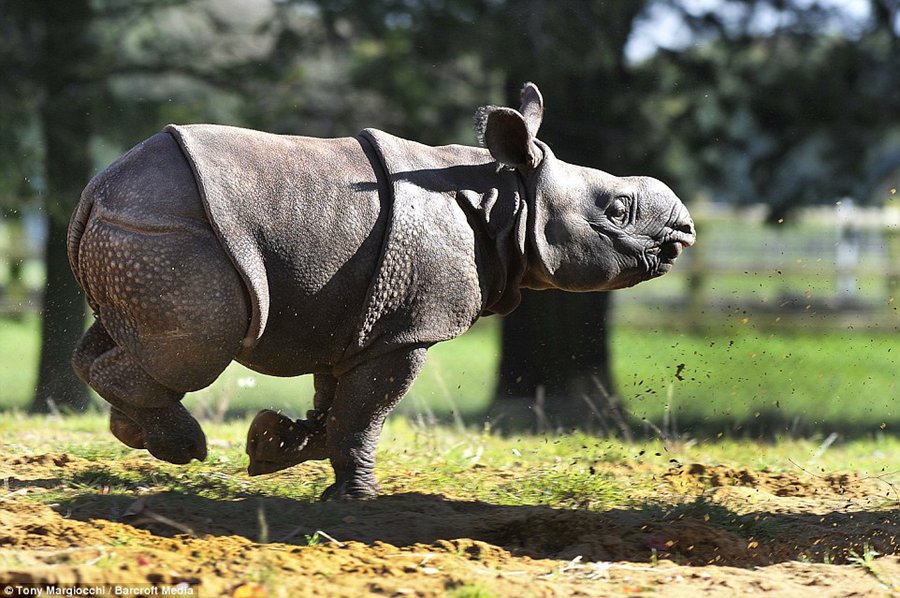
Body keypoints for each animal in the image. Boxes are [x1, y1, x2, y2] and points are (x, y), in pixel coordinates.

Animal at [68, 82, 696, 500]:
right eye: (619, 209)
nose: (685, 230)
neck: (508, 198)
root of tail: (96, 191)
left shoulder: (354, 313)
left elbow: (337, 401)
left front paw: (273, 448)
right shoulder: (407, 327)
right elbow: (365, 410)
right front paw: (353, 502)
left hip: (143, 233)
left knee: (123, 340)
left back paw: (138, 435)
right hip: (170, 234)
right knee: (199, 348)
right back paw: (184, 447)